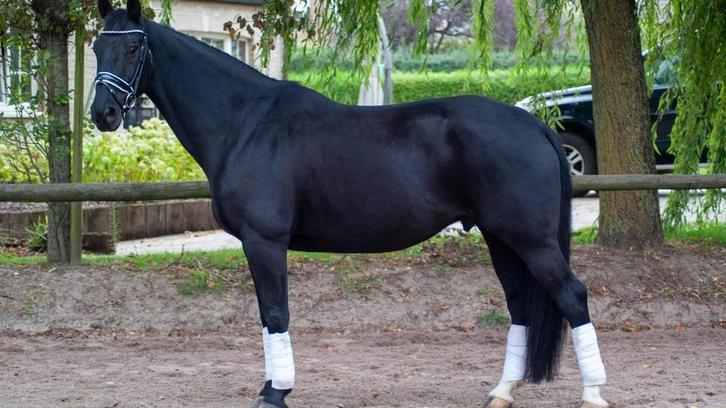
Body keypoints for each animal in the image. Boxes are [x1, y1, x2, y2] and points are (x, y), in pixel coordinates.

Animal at [90, 1, 608, 407]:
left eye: (134, 47)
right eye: (96, 47)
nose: (103, 113)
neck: (246, 124)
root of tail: (533, 123)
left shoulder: (264, 241)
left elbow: (275, 313)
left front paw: (275, 393)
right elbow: (266, 316)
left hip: (531, 240)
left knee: (572, 296)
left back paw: (593, 394)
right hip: (501, 238)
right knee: (520, 305)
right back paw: (501, 391)